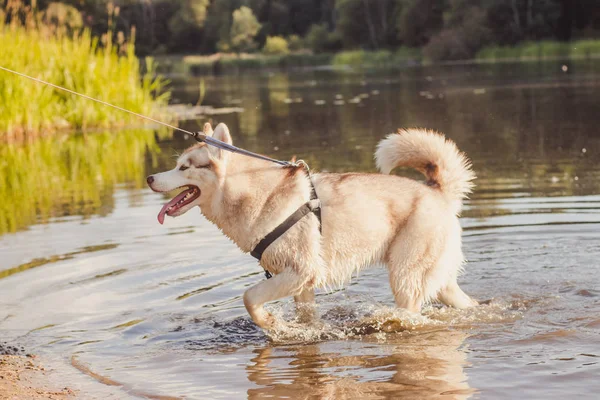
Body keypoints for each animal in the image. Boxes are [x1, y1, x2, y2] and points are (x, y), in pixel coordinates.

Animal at [149, 123, 478, 330]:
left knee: (411, 314)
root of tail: (437, 191)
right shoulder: (299, 282)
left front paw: (270, 323)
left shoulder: (301, 270)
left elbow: (248, 297)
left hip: (405, 280)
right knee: (469, 304)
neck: (256, 196)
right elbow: (305, 317)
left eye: (184, 167)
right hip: (438, 283)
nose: (151, 178)